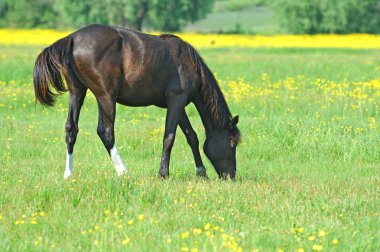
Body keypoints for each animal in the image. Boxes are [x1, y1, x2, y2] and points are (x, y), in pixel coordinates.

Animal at [32, 23, 240, 179]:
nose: (231, 176)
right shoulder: (176, 100)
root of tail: (72, 38)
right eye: (232, 142)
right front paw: (163, 174)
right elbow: (169, 137)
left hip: (77, 92)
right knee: (105, 131)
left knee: (71, 129)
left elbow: (192, 137)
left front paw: (201, 172)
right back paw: (123, 171)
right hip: (106, 96)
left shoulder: (178, 105)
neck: (189, 63)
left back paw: (69, 174)